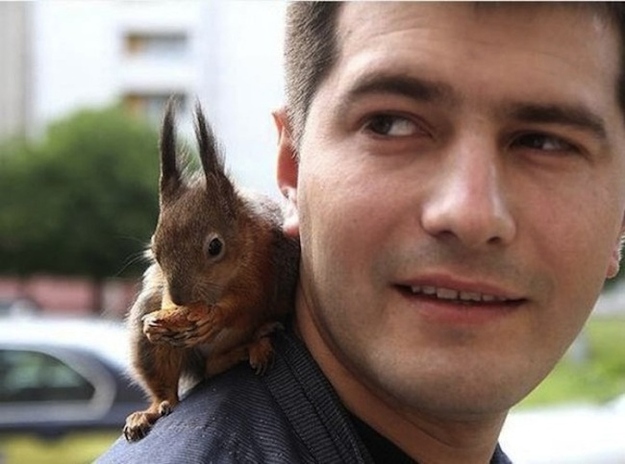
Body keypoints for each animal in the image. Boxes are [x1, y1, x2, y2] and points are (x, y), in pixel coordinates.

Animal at [122, 101, 300, 442]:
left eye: (215, 247)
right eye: (155, 249)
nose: (181, 297)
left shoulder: (263, 269)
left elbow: (246, 303)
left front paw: (215, 316)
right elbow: (164, 305)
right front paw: (158, 321)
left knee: (217, 365)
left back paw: (255, 342)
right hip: (151, 348)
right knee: (168, 386)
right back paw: (150, 410)